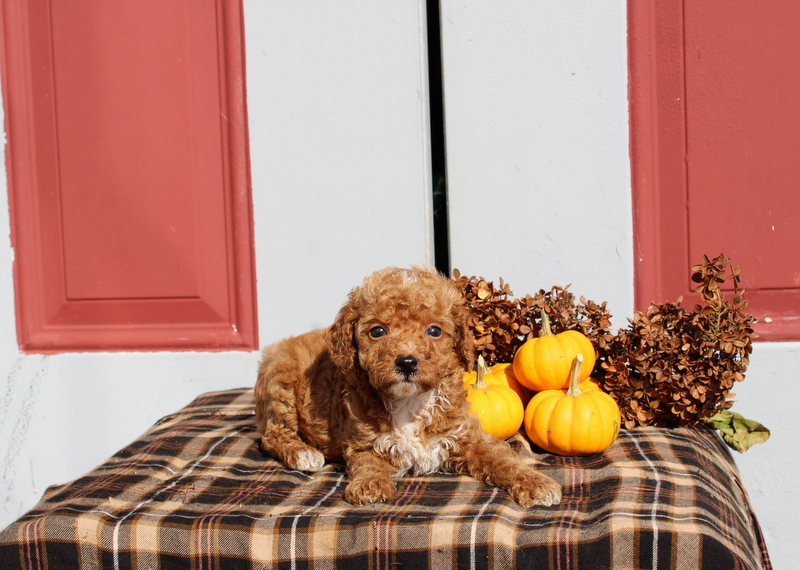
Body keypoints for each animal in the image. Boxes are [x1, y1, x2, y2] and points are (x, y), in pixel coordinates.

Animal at [253, 266, 560, 506]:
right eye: (377, 331)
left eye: (434, 331)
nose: (407, 362)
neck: (411, 402)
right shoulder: (363, 441)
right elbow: (368, 463)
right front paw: (370, 486)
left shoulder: (466, 436)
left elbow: (502, 459)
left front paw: (537, 482)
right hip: (281, 380)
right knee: (272, 435)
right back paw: (303, 454)